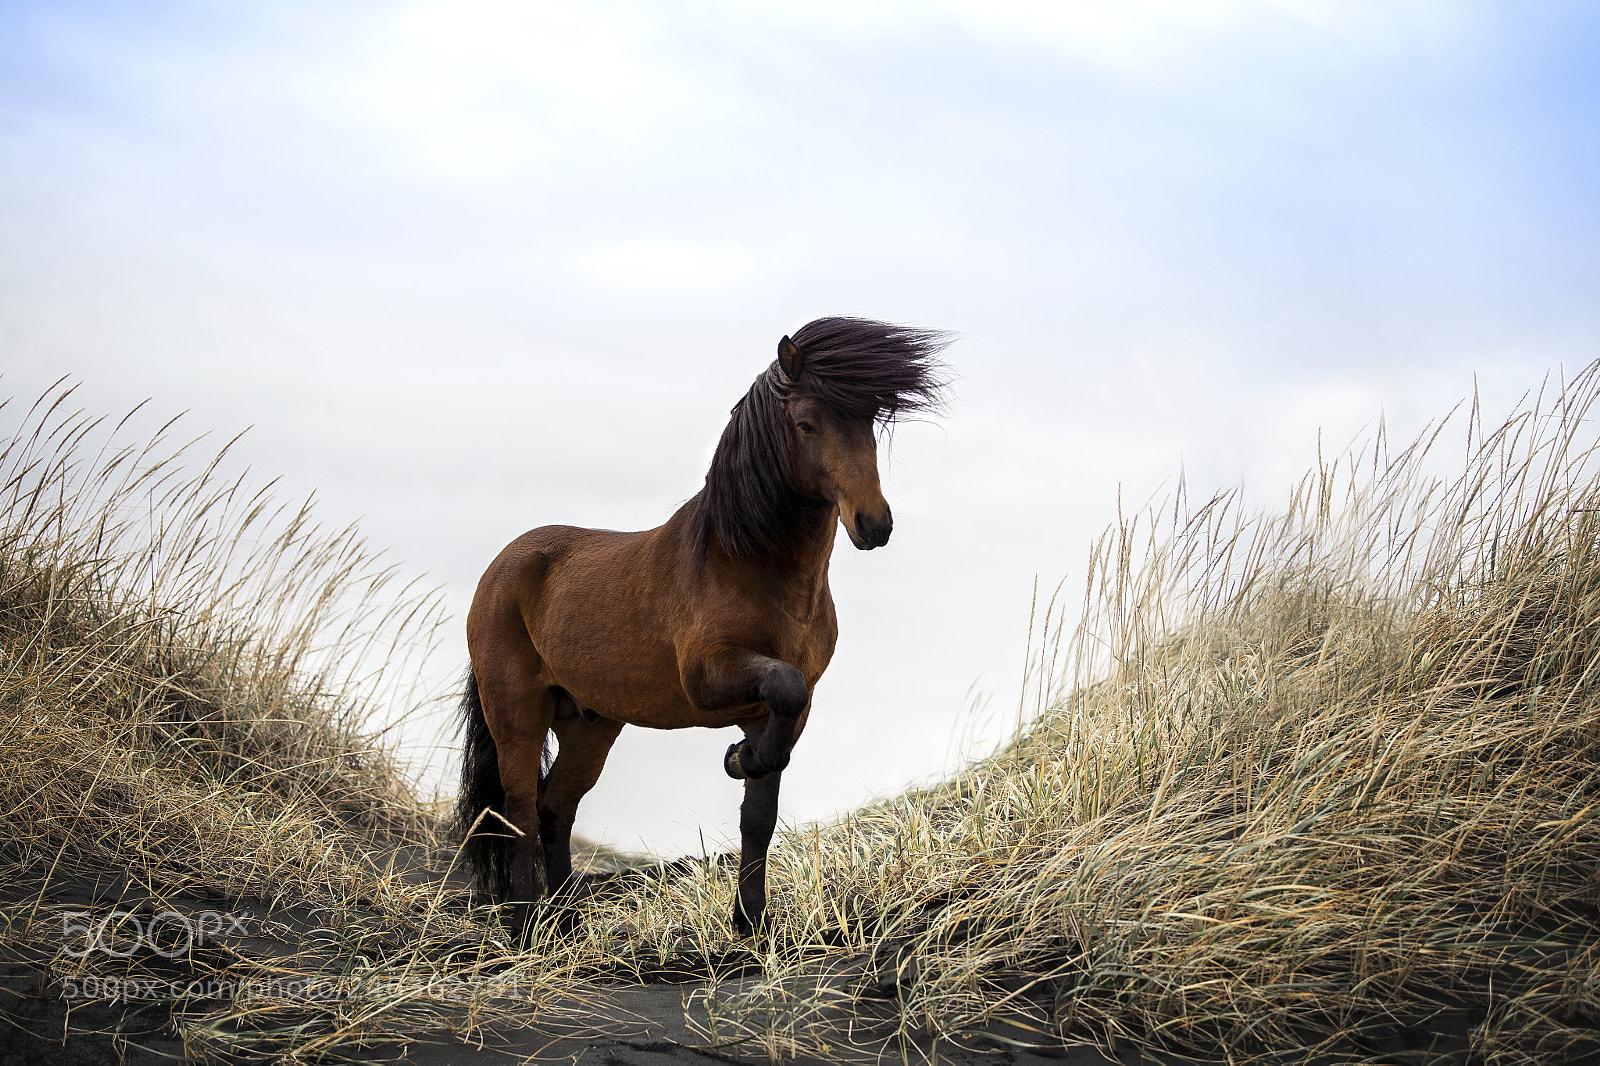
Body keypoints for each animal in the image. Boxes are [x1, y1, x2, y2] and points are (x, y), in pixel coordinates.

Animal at [455, 316, 949, 941]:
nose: (873, 523)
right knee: (517, 808)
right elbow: (779, 697)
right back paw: (527, 927)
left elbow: (760, 812)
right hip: (517, 711)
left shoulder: (785, 708)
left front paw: (752, 922)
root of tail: (502, 566)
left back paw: (565, 922)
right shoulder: (710, 678)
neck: (743, 561)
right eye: (807, 423)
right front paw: (741, 758)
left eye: (869, 424)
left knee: (555, 806)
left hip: (589, 723)